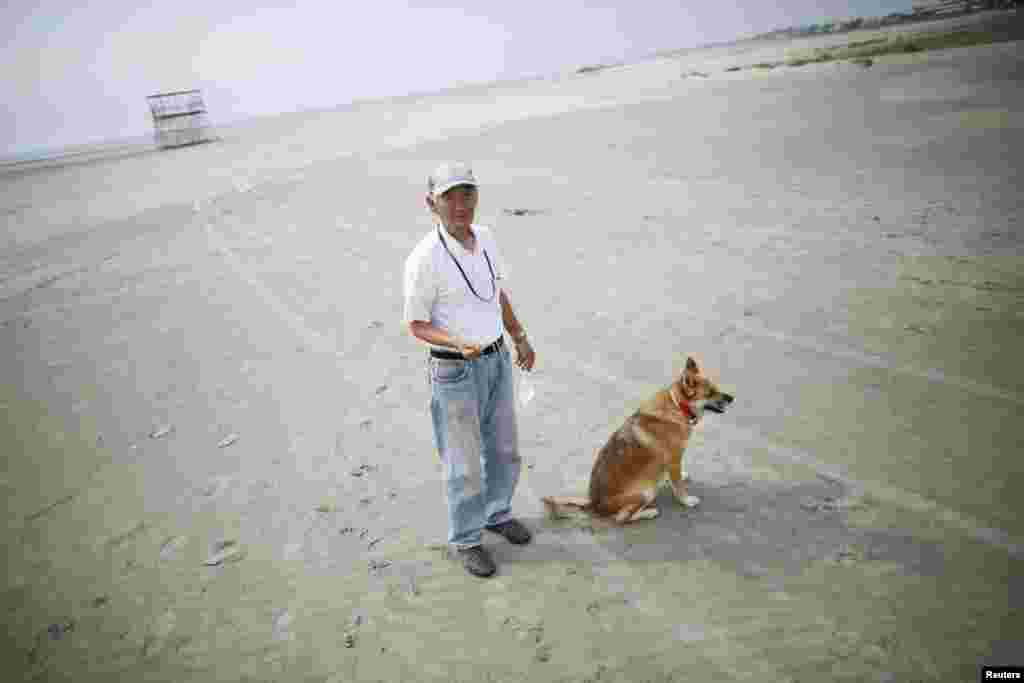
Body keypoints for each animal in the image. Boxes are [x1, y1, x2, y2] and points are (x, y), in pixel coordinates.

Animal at [540, 358, 733, 524]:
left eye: (716, 388)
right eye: (710, 393)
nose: (732, 398)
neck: (678, 406)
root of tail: (593, 503)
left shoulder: (671, 462)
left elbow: (673, 476)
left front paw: (673, 477)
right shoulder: (674, 459)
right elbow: (678, 486)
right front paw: (686, 500)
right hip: (645, 494)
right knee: (621, 518)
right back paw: (649, 512)